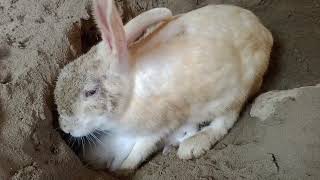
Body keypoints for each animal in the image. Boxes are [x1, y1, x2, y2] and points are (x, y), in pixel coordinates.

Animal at [54, 0, 272, 170]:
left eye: (90, 92)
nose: (65, 128)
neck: (130, 94)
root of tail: (264, 33)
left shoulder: (155, 129)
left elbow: (139, 150)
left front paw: (124, 169)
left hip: (234, 93)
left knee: (225, 120)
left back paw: (193, 146)